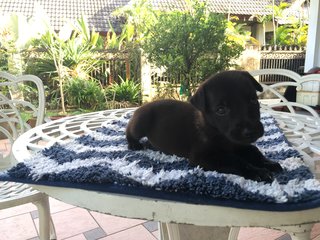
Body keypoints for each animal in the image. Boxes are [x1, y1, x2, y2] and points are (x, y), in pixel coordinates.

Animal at [125, 70, 282, 181]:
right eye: (221, 110)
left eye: (253, 101)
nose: (251, 131)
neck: (219, 134)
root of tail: (142, 106)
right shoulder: (205, 157)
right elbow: (236, 161)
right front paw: (257, 172)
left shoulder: (239, 144)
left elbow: (254, 151)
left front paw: (268, 163)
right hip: (140, 123)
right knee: (129, 130)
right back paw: (134, 144)